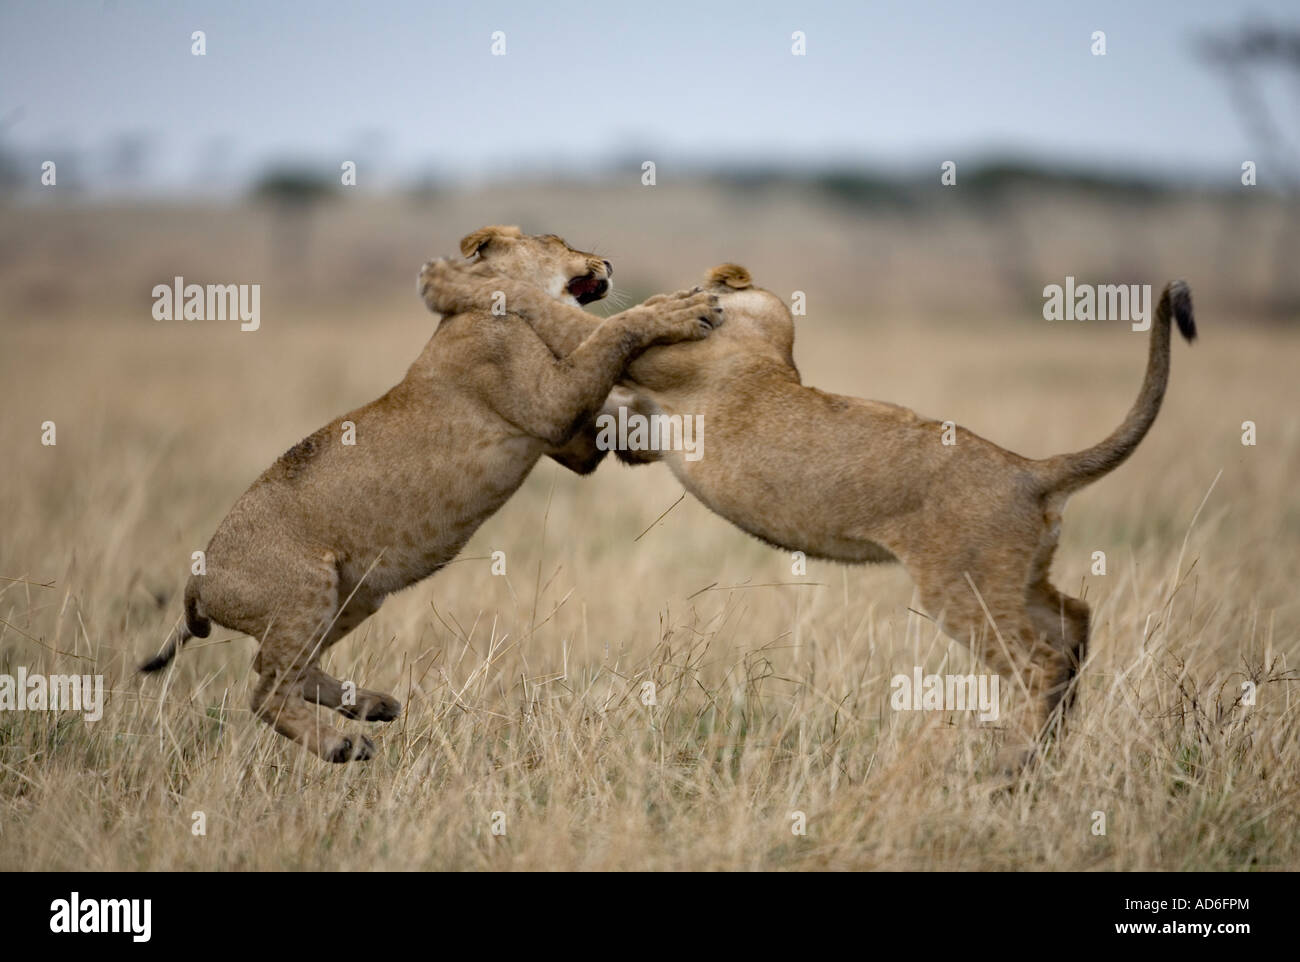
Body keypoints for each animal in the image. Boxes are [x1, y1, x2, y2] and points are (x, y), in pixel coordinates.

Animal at [140, 226, 723, 763]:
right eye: (557, 240)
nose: (608, 262)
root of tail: (197, 578)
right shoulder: (550, 399)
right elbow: (611, 333)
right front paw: (683, 308)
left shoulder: (572, 441)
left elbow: (616, 415)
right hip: (306, 592)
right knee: (264, 688)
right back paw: (342, 742)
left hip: (354, 596)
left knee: (280, 668)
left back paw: (368, 703)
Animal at [422, 260, 1196, 765]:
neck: (769, 342)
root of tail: (1033, 470)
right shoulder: (641, 425)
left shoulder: (659, 369)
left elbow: (564, 315)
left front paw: (450, 282)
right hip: (1016, 577)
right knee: (1075, 623)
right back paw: (1050, 749)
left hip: (964, 589)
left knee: (1041, 660)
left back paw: (1017, 761)